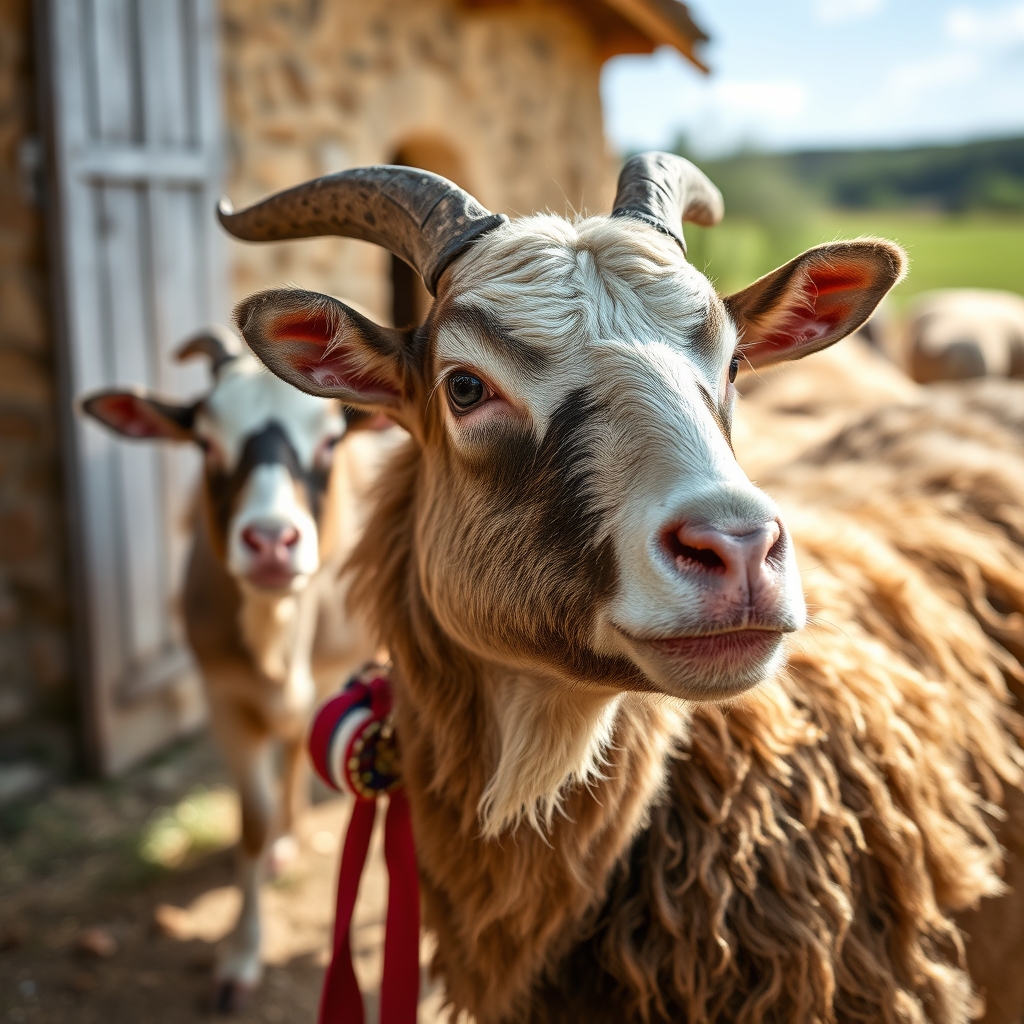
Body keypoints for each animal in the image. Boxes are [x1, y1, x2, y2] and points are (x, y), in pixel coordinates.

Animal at [81, 329, 397, 1011]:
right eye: (205, 442)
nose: (272, 542)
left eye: (329, 441)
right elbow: (251, 822)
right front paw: (240, 957)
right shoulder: (224, 699)